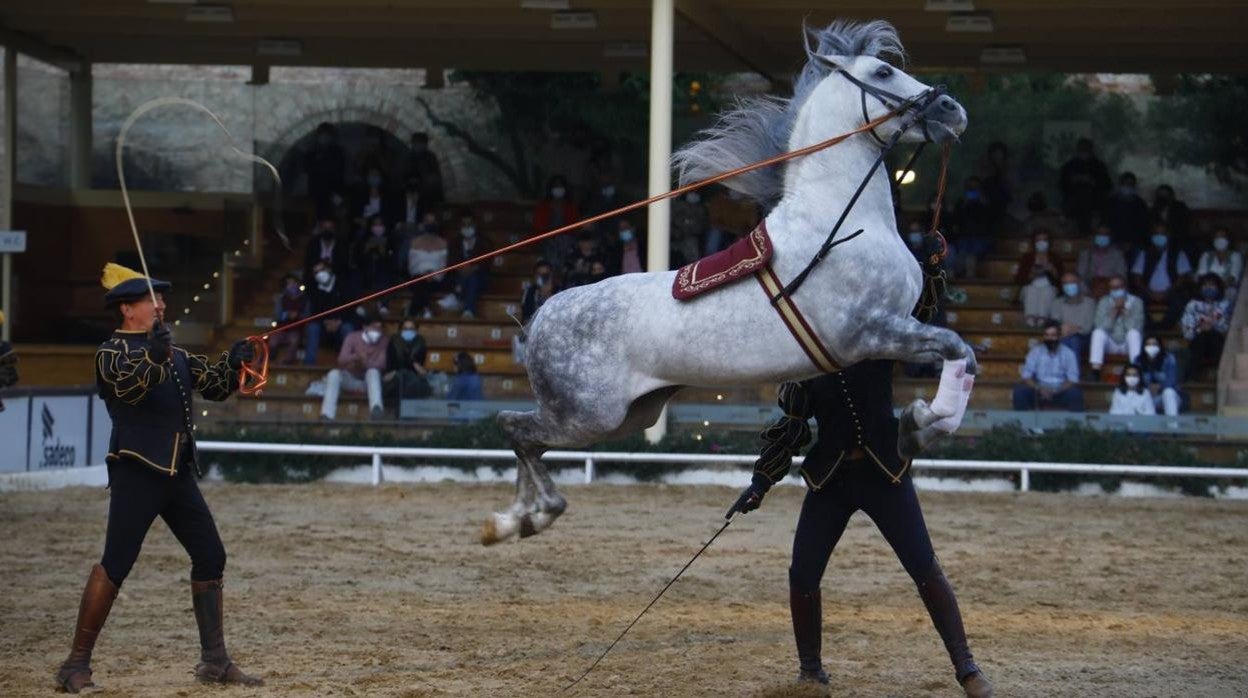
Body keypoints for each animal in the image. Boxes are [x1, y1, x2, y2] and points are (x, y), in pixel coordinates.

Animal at [481, 19, 978, 546]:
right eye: (883, 72)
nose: (953, 110)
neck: (841, 224)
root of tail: (539, 316)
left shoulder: (896, 329)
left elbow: (962, 355)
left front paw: (920, 423)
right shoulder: (872, 332)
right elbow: (958, 348)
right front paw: (919, 426)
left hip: (631, 414)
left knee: (525, 438)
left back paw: (517, 520)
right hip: (587, 416)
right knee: (513, 428)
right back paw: (524, 517)